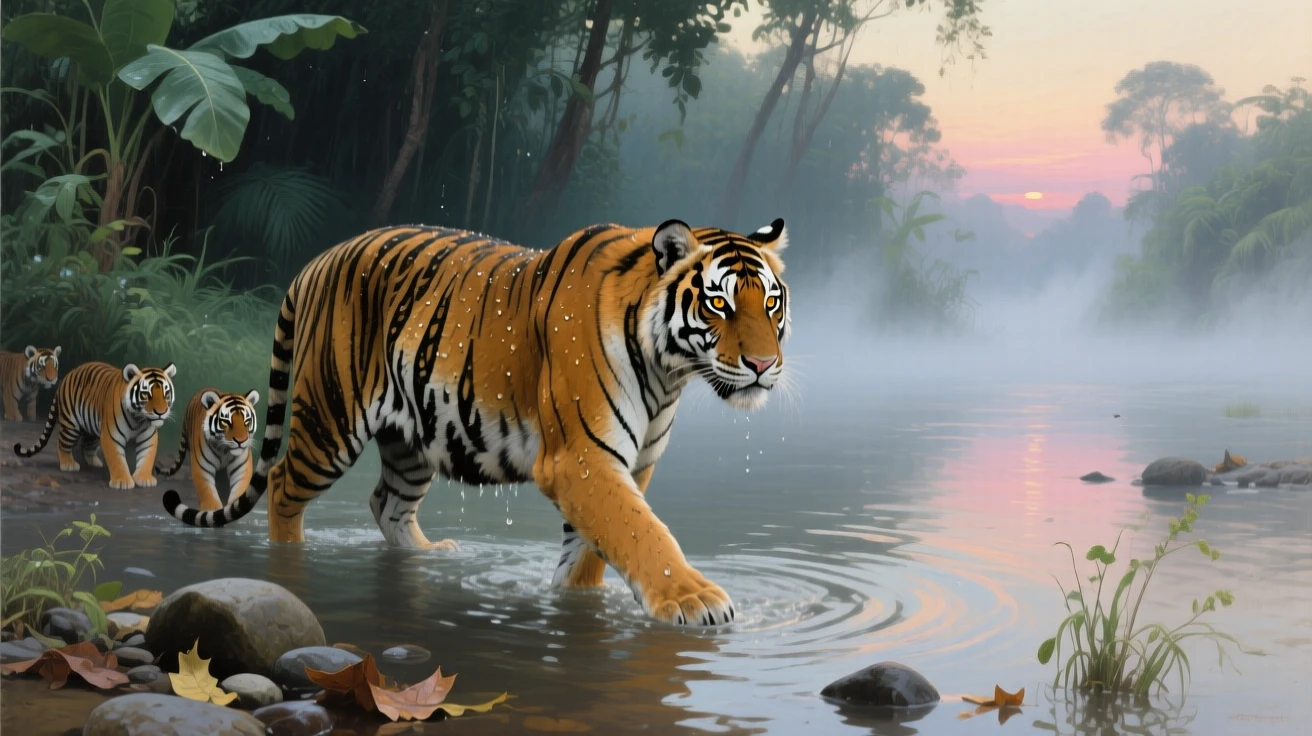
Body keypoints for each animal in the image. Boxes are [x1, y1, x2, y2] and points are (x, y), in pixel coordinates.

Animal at [15, 361, 177, 490]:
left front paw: (144, 479)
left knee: (88, 445)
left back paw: (94, 462)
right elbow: (117, 459)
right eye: (146, 394)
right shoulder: (111, 436)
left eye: (166, 393)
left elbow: (146, 457)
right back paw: (68, 464)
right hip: (71, 426)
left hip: (93, 430)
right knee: (62, 444)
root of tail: (67, 376)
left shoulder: (148, 437)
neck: (139, 419)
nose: (161, 412)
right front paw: (122, 482)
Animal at [161, 219, 791, 627]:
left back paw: (431, 555)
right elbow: (643, 532)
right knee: (284, 487)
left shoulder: (631, 465)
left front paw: (576, 607)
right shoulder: (582, 460)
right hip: (331, 421)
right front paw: (694, 600)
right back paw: (290, 562)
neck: (668, 374)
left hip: (412, 437)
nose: (764, 366)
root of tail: (317, 260)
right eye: (719, 303)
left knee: (386, 503)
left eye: (772, 303)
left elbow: (593, 550)